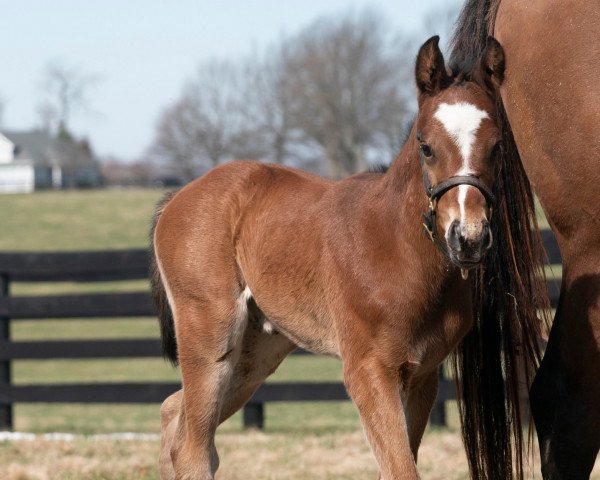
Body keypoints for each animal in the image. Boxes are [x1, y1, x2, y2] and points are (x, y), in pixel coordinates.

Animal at [152, 35, 548, 478]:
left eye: (497, 147)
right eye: (426, 146)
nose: (469, 237)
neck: (397, 249)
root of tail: (177, 197)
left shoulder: (422, 374)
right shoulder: (369, 370)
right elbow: (401, 469)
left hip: (255, 351)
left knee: (174, 416)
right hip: (212, 336)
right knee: (193, 447)